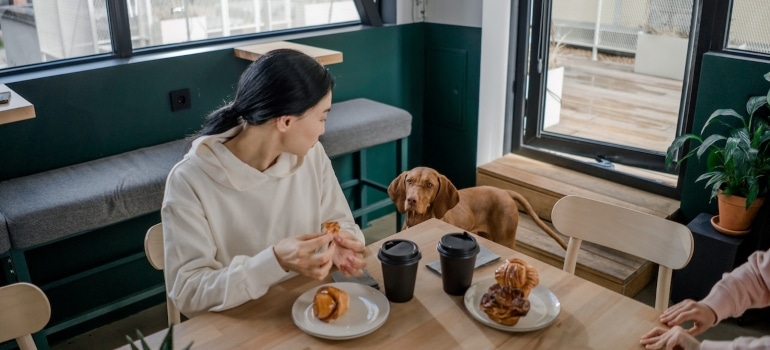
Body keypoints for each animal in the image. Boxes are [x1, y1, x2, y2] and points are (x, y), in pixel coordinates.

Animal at [388, 166, 568, 250]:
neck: (419, 220)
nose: (411, 200)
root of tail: (505, 191)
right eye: (409, 181)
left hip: (506, 240)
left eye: (429, 185)